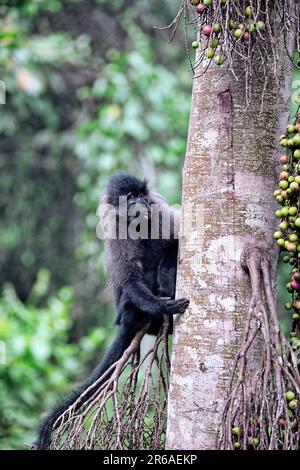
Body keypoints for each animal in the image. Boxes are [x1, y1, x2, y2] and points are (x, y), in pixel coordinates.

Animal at [35, 172, 190, 448]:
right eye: (130, 197)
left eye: (141, 195)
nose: (140, 203)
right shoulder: (118, 230)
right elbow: (128, 280)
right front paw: (161, 304)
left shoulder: (158, 212)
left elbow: (174, 241)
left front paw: (166, 280)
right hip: (126, 311)